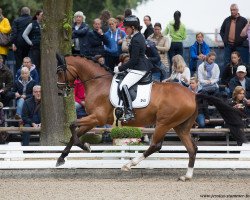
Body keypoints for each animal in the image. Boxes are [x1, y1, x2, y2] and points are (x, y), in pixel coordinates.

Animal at [55, 55, 245, 181]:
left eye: (59, 71)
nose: (60, 91)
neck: (97, 83)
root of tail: (193, 94)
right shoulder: (94, 119)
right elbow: (74, 132)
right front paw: (61, 158)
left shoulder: (97, 118)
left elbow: (72, 126)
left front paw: (85, 147)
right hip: (181, 126)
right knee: (192, 148)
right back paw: (187, 176)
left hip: (164, 123)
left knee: (156, 145)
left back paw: (129, 164)